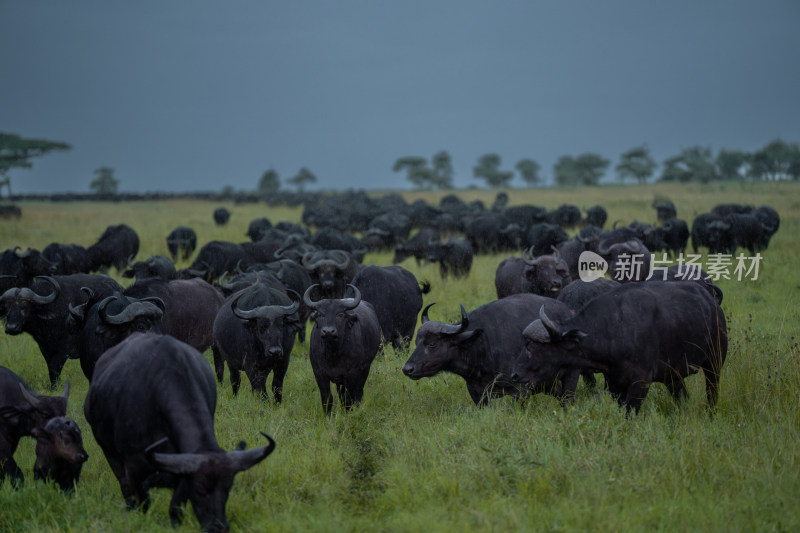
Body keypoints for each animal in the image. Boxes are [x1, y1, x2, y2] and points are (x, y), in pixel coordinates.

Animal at [85, 334, 276, 528]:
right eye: (200, 490)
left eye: (227, 488)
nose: (218, 526)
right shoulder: (134, 466)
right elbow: (140, 500)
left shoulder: (183, 467)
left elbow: (175, 507)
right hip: (109, 452)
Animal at [304, 284, 382, 414]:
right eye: (320, 314)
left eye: (340, 314)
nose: (328, 332)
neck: (333, 353)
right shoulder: (319, 372)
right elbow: (327, 398)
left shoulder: (352, 373)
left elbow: (348, 398)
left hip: (365, 369)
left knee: (358, 392)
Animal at [516, 280, 728, 414]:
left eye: (532, 346)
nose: (515, 375)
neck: (613, 329)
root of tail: (712, 303)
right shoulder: (615, 383)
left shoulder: (641, 382)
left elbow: (629, 412)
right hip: (672, 374)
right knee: (682, 396)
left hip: (714, 362)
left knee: (712, 391)